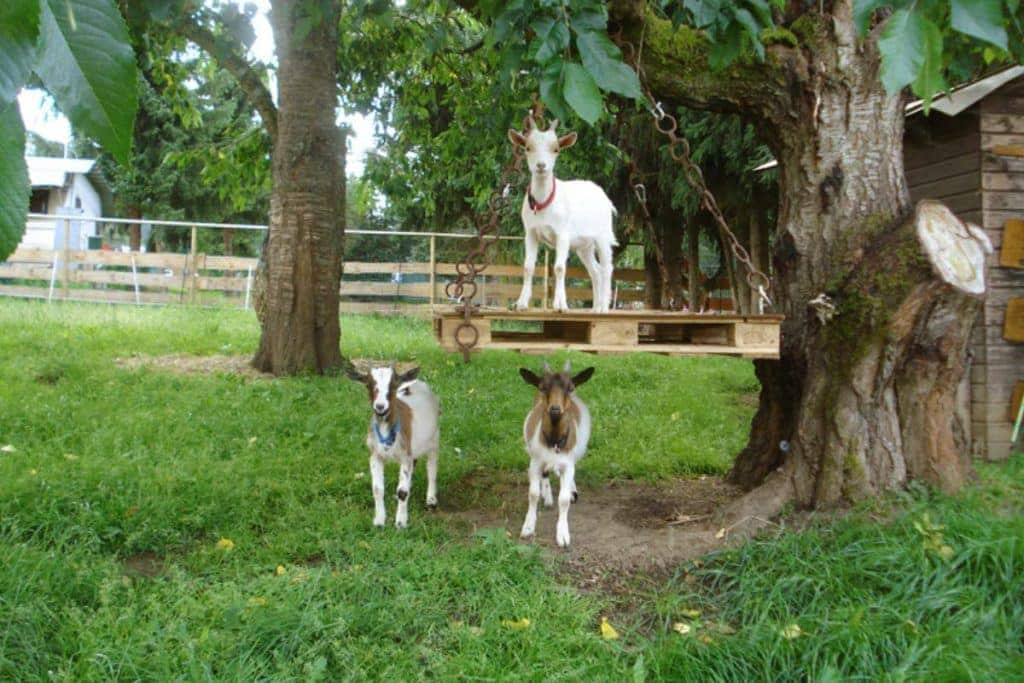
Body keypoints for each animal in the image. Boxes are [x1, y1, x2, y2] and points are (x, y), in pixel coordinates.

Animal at [346, 362, 438, 528]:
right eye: (369, 384)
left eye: (393, 385)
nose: (380, 406)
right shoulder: (375, 455)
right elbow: (377, 489)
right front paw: (379, 521)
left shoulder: (405, 455)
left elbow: (402, 491)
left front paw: (400, 523)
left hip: (434, 438)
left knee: (432, 468)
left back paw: (431, 499)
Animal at [505, 116, 614, 313]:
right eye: (528, 148)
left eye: (555, 149)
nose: (541, 165)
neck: (543, 204)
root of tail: (602, 195)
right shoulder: (530, 233)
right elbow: (528, 267)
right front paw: (521, 303)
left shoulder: (562, 234)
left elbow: (559, 268)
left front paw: (560, 305)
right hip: (584, 246)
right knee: (595, 271)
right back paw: (595, 307)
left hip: (603, 236)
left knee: (606, 267)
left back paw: (603, 307)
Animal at [520, 360, 593, 548]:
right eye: (543, 387)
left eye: (570, 387)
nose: (555, 409)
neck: (553, 441)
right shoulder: (535, 462)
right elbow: (533, 494)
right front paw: (528, 527)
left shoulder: (568, 464)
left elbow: (564, 499)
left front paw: (563, 535)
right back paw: (547, 497)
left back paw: (572, 490)